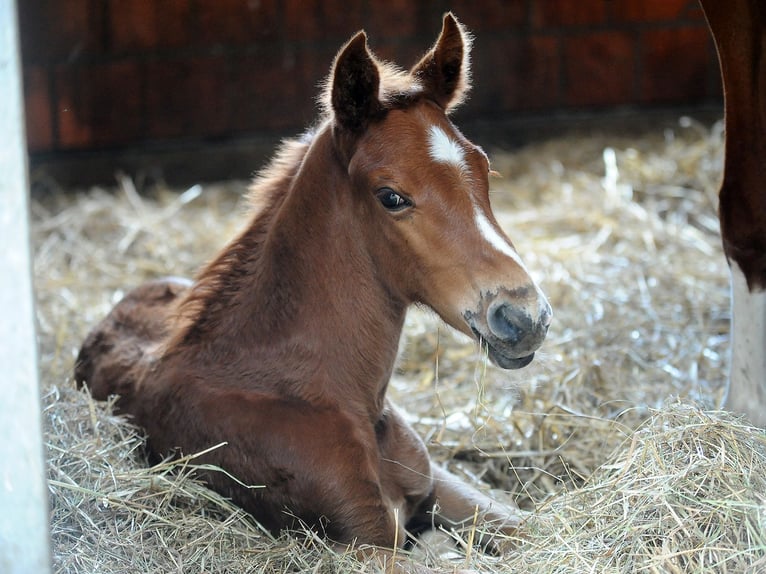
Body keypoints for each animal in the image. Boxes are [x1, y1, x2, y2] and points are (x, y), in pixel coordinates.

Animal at [76, 12, 552, 572]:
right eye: (391, 197)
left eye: (482, 169)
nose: (524, 317)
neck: (320, 393)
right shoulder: (360, 543)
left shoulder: (439, 483)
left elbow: (525, 526)